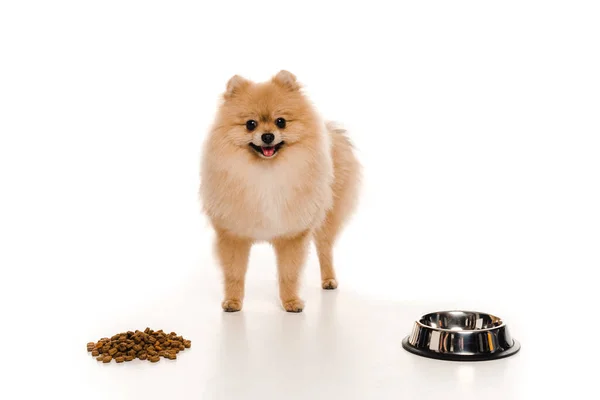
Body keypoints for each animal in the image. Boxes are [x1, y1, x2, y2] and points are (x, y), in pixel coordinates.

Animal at [202, 69, 360, 312]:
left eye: (281, 122)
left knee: (325, 250)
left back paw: (329, 280)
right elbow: (234, 273)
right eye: (250, 124)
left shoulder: (292, 233)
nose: (268, 136)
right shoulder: (233, 233)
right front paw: (233, 302)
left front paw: (291, 302)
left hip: (326, 217)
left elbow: (289, 273)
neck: (267, 173)